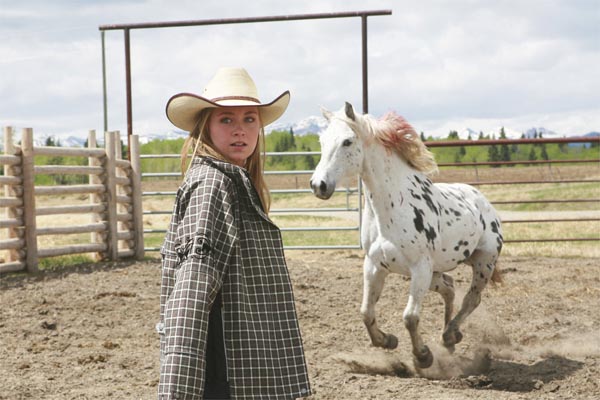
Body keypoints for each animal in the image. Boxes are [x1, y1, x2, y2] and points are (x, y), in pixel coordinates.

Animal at [310, 102, 502, 368]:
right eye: (322, 140)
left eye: (347, 141)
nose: (319, 185)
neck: (392, 206)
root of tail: (481, 200)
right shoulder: (374, 265)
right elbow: (366, 312)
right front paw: (387, 340)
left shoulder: (419, 267)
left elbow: (410, 317)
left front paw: (422, 356)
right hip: (436, 272)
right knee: (449, 288)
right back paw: (449, 340)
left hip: (483, 262)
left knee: (471, 299)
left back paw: (449, 334)